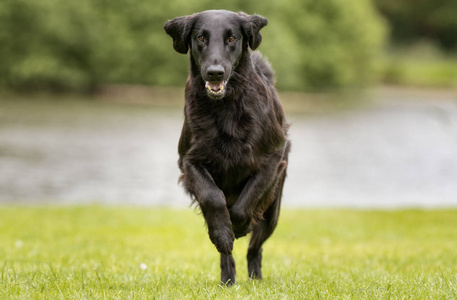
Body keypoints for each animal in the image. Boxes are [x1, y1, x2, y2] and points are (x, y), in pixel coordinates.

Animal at [166, 9, 290, 286]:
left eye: (232, 38)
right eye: (200, 38)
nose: (215, 73)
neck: (225, 107)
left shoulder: (272, 158)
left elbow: (247, 203)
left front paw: (239, 226)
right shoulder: (189, 160)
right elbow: (212, 198)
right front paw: (224, 234)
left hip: (273, 211)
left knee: (255, 247)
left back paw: (255, 276)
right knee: (228, 251)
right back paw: (228, 277)